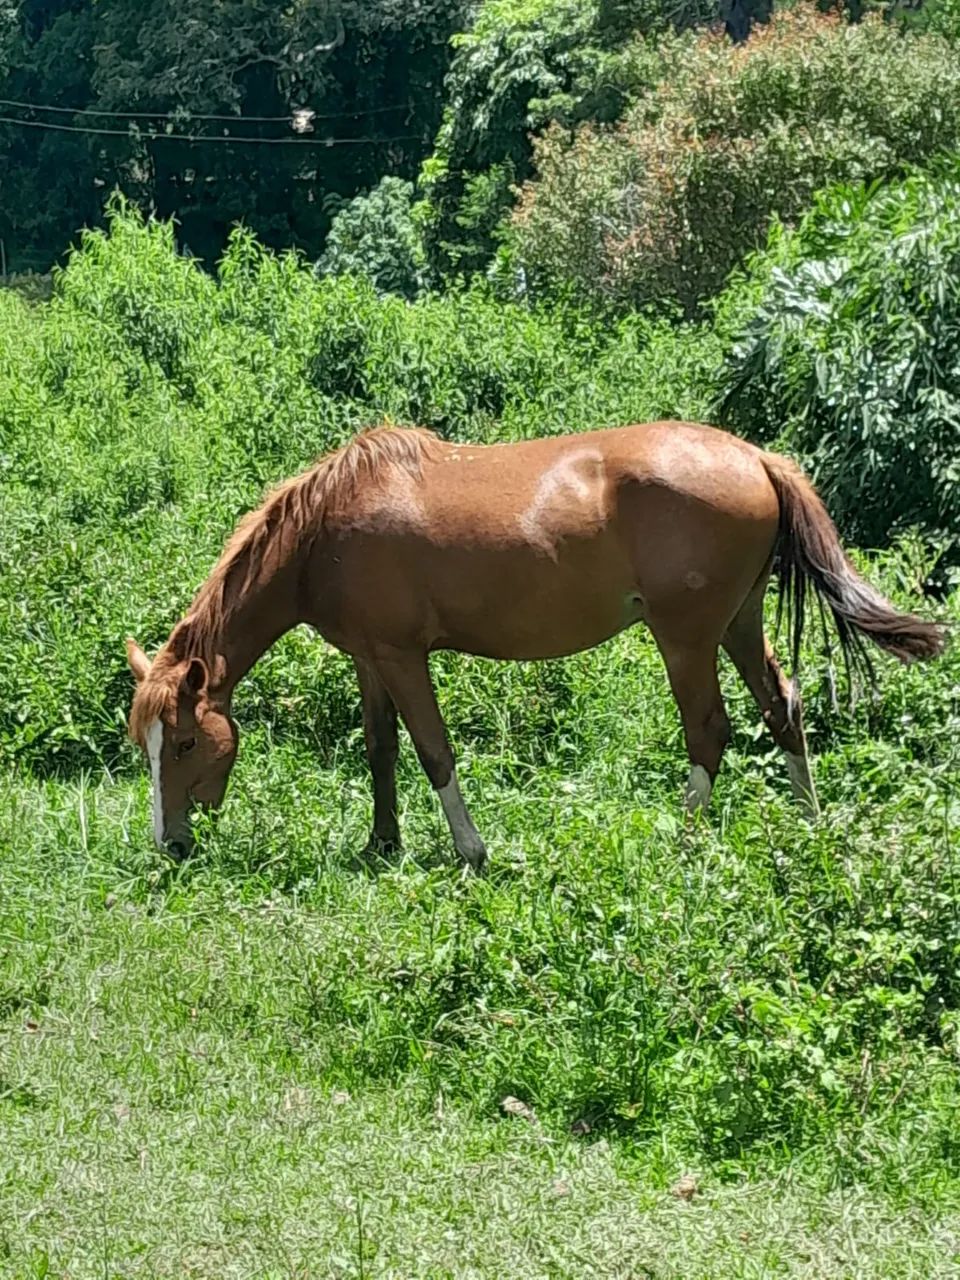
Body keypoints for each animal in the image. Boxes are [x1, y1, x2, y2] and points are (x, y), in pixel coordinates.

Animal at [126, 422, 944, 866]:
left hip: (685, 638)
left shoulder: (402, 656)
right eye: (147, 745)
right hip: (740, 625)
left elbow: (434, 753)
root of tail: (755, 458)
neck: (324, 531)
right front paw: (382, 844)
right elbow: (380, 750)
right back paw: (810, 827)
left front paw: (471, 851)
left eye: (188, 743)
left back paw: (684, 844)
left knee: (709, 731)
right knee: (783, 709)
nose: (171, 843)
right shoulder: (368, 657)